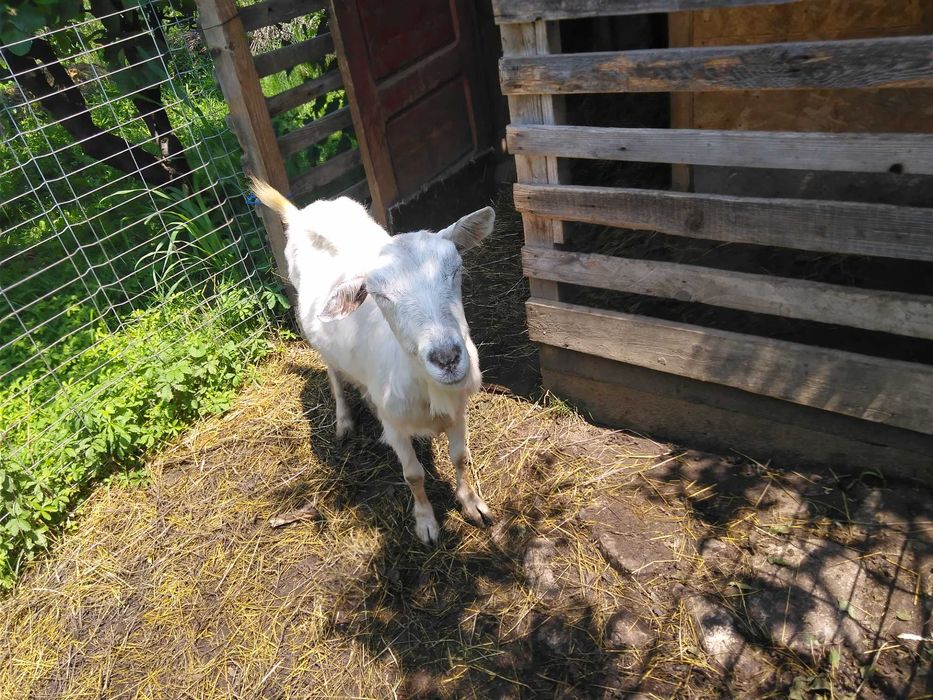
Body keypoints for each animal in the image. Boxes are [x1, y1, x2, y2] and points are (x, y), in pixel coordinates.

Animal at [250, 177, 495, 544]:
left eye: (456, 270)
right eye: (379, 295)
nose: (447, 358)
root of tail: (301, 213)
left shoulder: (458, 409)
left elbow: (461, 457)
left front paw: (472, 505)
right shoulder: (396, 425)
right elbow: (413, 475)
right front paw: (426, 523)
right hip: (315, 337)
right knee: (333, 373)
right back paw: (344, 421)